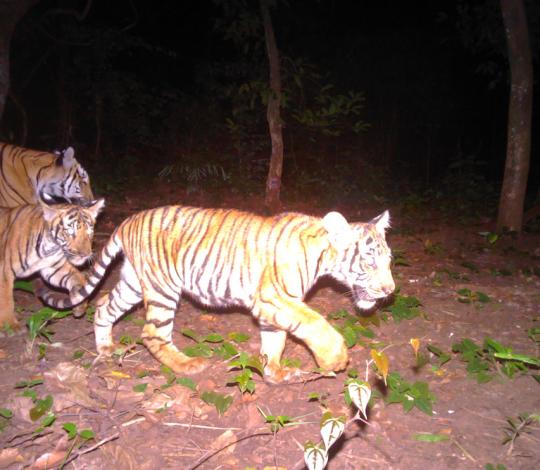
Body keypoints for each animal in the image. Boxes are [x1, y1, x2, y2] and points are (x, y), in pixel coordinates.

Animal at [0, 195, 104, 330]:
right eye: (70, 232)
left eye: (89, 232)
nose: (85, 254)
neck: (49, 247)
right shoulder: (5, 271)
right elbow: (6, 299)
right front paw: (10, 326)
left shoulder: (54, 267)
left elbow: (77, 277)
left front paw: (79, 304)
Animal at [37, 206, 392, 382]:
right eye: (370, 260)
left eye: (389, 260)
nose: (390, 290)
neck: (321, 256)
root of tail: (128, 220)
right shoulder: (275, 298)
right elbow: (315, 323)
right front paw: (334, 359)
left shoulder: (273, 307)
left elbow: (274, 340)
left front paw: (274, 373)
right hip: (163, 289)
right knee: (152, 333)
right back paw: (187, 366)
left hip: (134, 283)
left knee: (103, 306)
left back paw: (106, 348)